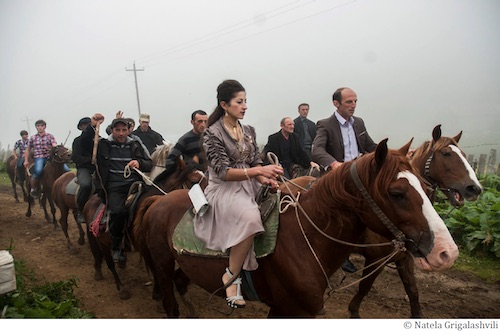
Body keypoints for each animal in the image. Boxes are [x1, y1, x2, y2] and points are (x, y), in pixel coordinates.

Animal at [83, 159, 206, 300]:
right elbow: (154, 268)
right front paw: (157, 292)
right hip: (102, 243)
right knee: (110, 264)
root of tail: (89, 201)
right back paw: (121, 288)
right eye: (193, 181)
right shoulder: (147, 247)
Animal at [134, 139, 460, 318]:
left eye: (424, 187)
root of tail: (158, 200)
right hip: (162, 264)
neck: (306, 240)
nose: (447, 251)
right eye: (397, 193)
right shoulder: (291, 309)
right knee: (170, 301)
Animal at [346, 124, 482, 318]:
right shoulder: (376, 259)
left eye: (463, 154)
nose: (474, 188)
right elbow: (365, 286)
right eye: (446, 154)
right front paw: (354, 310)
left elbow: (412, 290)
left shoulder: (405, 259)